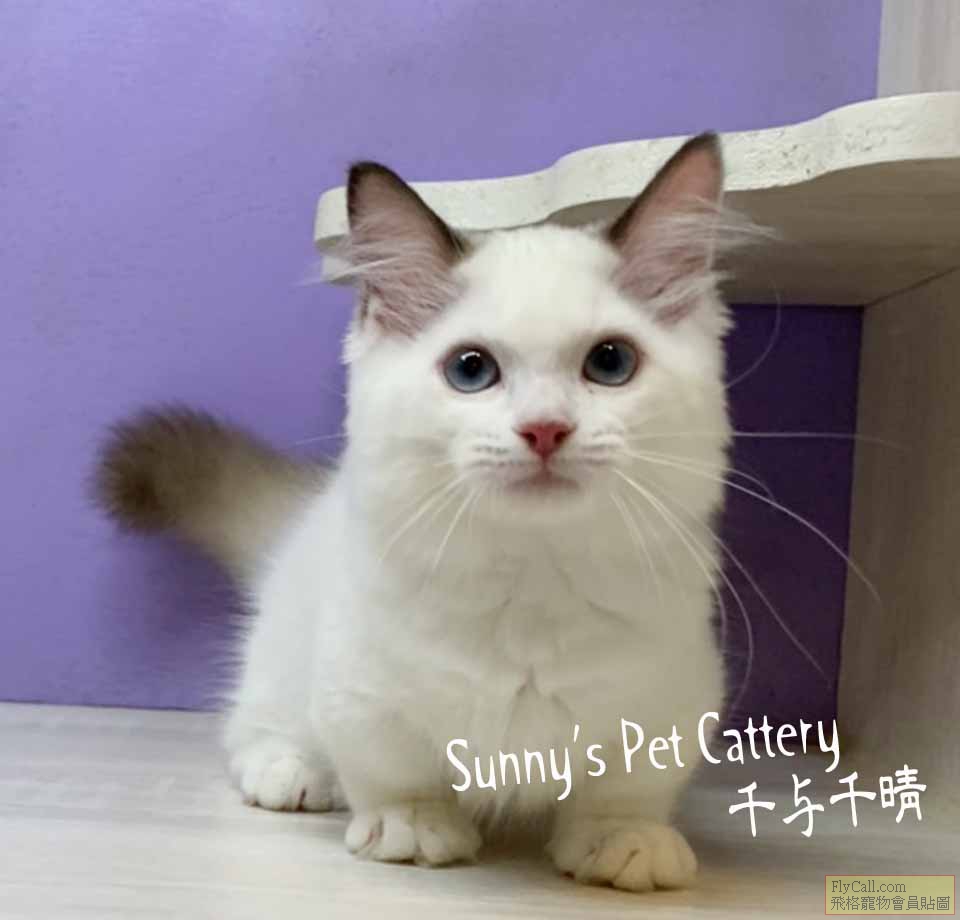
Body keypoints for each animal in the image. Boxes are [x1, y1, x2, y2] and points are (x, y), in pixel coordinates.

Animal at [97, 133, 738, 892]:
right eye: (471, 370)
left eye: (610, 363)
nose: (545, 430)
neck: (532, 580)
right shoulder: (362, 687)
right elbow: (394, 770)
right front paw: (413, 828)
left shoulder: (669, 698)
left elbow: (628, 786)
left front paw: (624, 840)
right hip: (285, 650)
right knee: (252, 722)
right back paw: (291, 773)